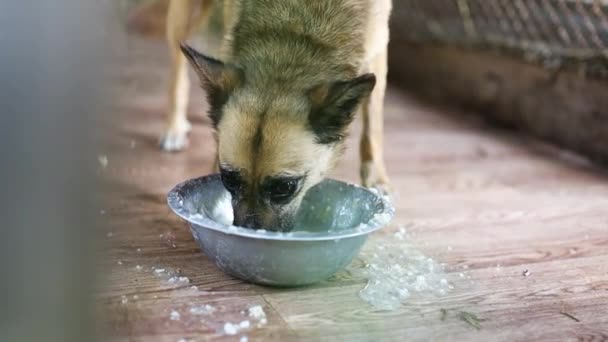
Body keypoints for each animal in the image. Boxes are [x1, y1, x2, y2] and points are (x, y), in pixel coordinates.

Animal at [159, 0, 392, 230]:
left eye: (285, 187)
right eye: (229, 179)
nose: (249, 235)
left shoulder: (378, 49)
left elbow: (373, 125)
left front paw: (375, 178)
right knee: (177, 65)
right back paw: (175, 126)